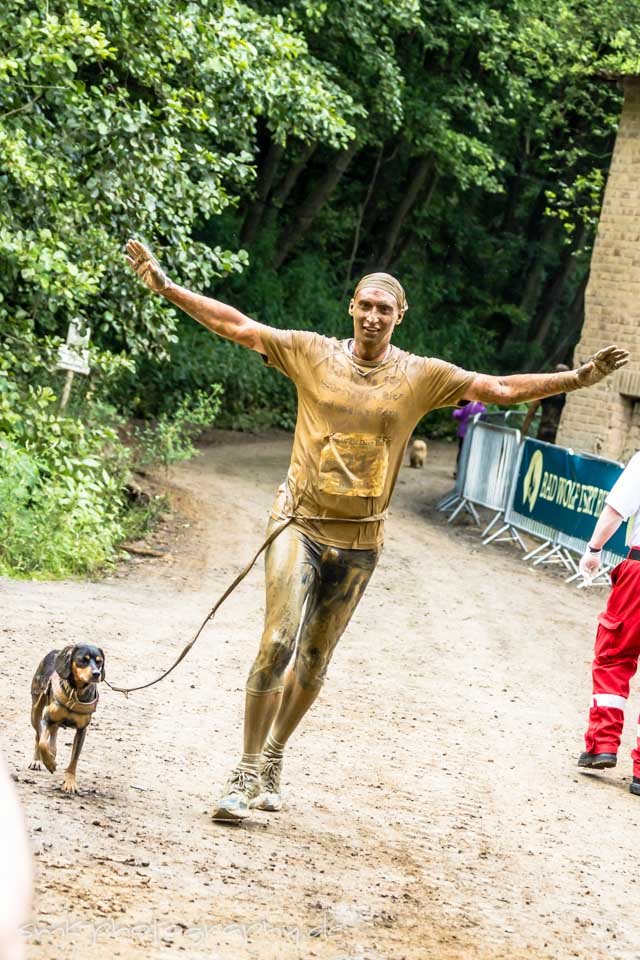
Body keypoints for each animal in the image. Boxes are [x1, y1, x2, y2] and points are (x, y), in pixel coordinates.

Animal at [29, 644, 105, 796]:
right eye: (83, 660)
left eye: (99, 662)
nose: (96, 674)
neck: (75, 692)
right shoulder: (47, 719)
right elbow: (42, 744)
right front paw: (49, 763)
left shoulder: (82, 730)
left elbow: (74, 760)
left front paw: (70, 783)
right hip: (35, 711)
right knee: (38, 735)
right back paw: (37, 760)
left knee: (53, 732)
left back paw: (52, 751)